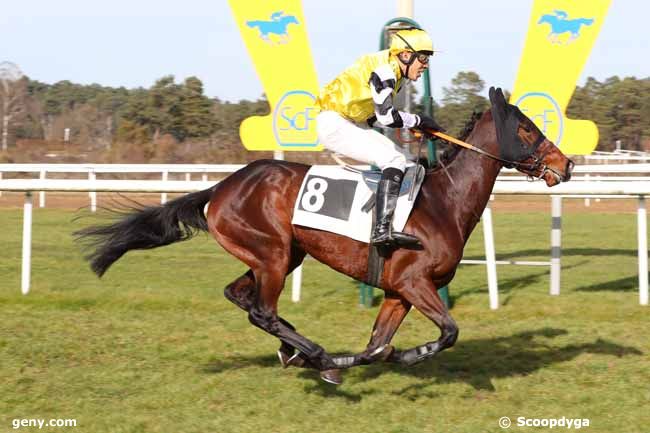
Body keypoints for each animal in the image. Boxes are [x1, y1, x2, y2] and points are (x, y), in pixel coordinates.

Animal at [77, 86, 572, 384]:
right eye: (526, 128)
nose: (566, 165)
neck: (442, 202)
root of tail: (221, 187)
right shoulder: (414, 282)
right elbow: (448, 332)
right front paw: (398, 357)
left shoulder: (398, 292)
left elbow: (377, 344)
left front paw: (375, 357)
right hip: (274, 255)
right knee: (262, 311)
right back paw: (317, 355)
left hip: (278, 255)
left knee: (241, 297)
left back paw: (303, 354)